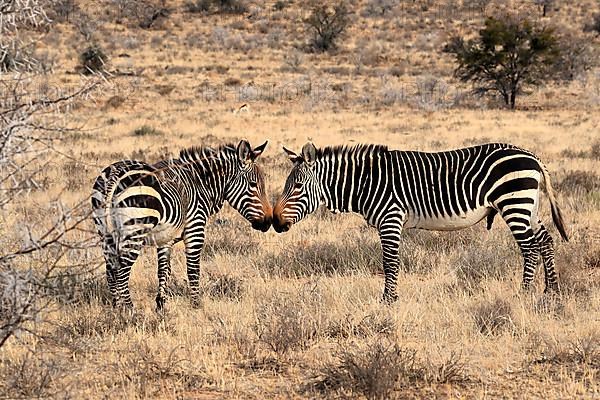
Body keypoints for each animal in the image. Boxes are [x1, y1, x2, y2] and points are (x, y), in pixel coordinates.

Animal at [91, 141, 272, 310]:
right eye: (253, 185)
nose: (269, 221)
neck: (201, 183)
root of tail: (116, 174)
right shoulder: (195, 229)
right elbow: (193, 270)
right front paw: (196, 305)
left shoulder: (165, 238)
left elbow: (164, 270)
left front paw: (161, 305)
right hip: (135, 229)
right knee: (121, 270)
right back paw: (130, 310)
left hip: (105, 232)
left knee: (111, 269)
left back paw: (117, 308)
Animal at [274, 142, 568, 302]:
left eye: (297, 187)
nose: (275, 223)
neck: (365, 182)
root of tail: (532, 156)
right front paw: (390, 298)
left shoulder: (390, 218)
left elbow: (390, 262)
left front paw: (388, 300)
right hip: (529, 206)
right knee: (545, 240)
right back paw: (550, 291)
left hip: (514, 203)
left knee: (530, 249)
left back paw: (524, 293)